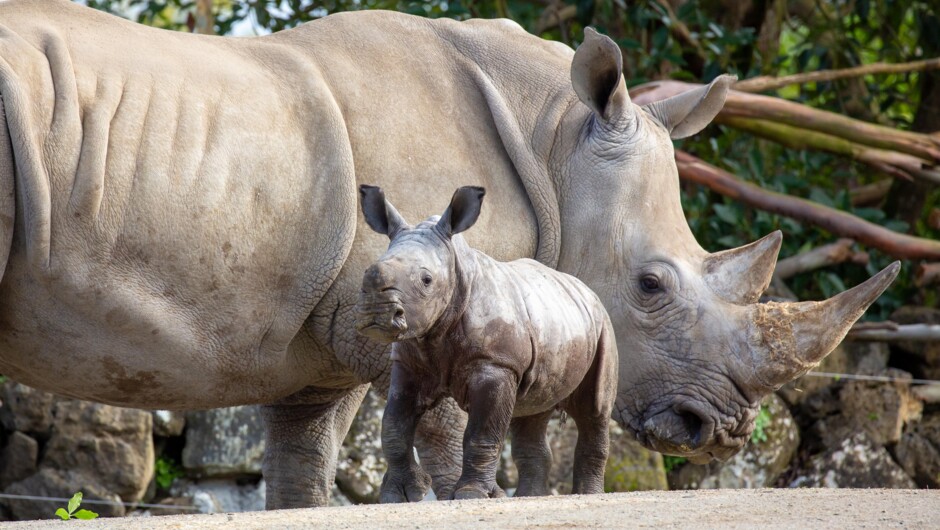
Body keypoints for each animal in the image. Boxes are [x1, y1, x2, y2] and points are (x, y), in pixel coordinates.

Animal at [354, 185, 616, 500]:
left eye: (426, 280)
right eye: (366, 273)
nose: (376, 311)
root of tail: (586, 289)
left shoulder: (496, 364)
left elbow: (481, 435)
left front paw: (471, 494)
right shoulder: (409, 361)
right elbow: (394, 427)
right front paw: (399, 495)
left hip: (603, 326)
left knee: (594, 410)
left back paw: (588, 495)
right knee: (532, 410)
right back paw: (528, 497)